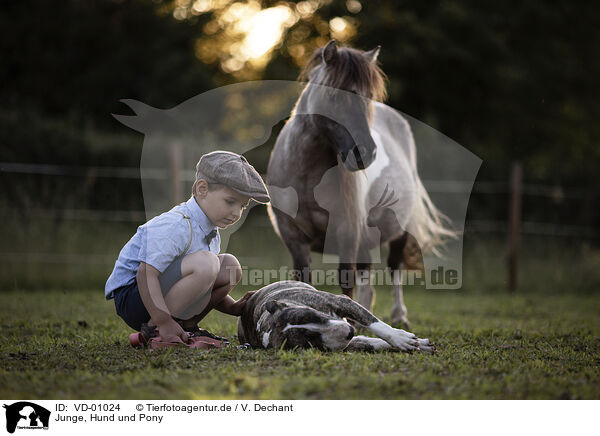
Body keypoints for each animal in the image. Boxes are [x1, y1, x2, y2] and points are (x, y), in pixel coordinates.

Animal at [236, 280, 436, 354]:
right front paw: (409, 343)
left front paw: (400, 338)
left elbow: (376, 324)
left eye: (312, 315)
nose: (349, 331)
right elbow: (370, 342)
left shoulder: (342, 302)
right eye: (310, 341)